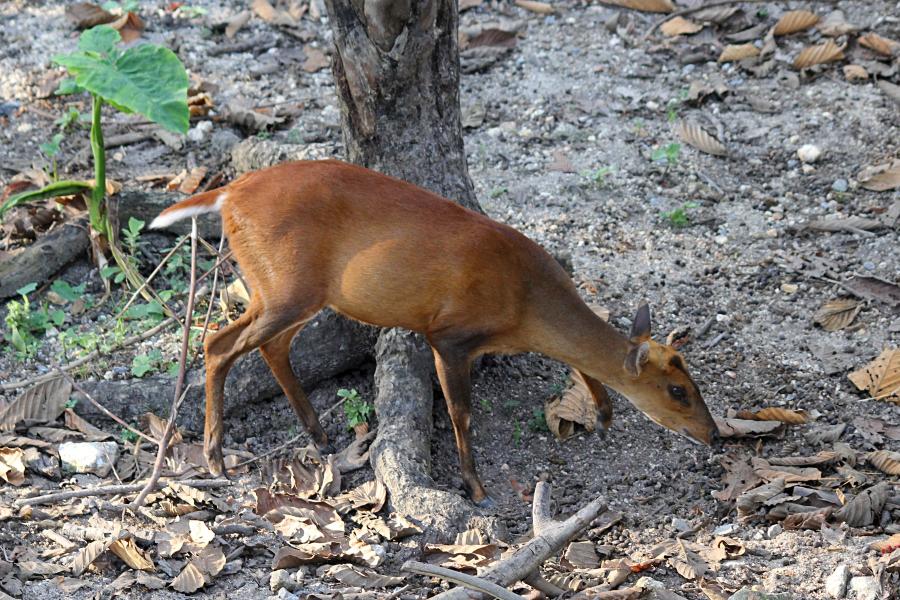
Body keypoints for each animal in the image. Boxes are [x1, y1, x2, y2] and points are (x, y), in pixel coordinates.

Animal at [153, 159, 716, 506]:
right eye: (678, 392)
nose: (714, 434)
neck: (527, 302)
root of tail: (228, 192)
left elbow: (578, 362)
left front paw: (603, 413)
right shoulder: (449, 334)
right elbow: (461, 412)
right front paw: (477, 487)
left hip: (290, 291)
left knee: (270, 345)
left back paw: (318, 435)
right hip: (286, 284)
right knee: (217, 344)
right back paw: (216, 458)